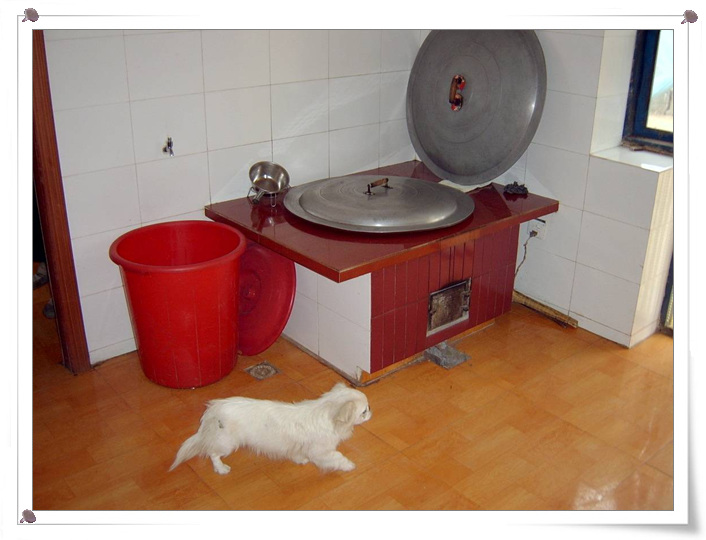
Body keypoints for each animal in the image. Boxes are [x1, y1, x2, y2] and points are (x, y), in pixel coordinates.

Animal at [169, 382, 371, 474]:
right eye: (364, 411)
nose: (371, 410)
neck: (327, 411)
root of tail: (214, 408)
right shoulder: (322, 451)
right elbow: (337, 458)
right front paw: (349, 465)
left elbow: (297, 453)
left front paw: (300, 460)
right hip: (227, 443)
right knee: (212, 453)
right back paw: (221, 469)